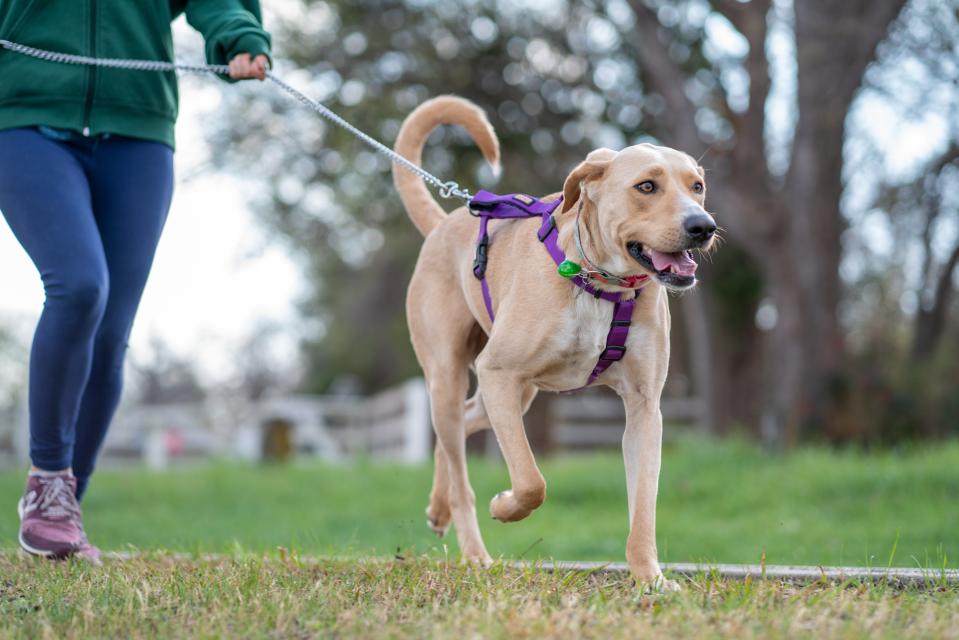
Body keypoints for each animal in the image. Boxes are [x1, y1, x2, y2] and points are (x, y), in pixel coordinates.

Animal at [394, 95, 716, 592]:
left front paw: (650, 577)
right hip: (452, 376)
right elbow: (531, 481)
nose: (704, 226)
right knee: (460, 464)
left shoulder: (645, 406)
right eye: (646, 186)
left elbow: (644, 506)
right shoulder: (498, 373)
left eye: (696, 186)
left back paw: (438, 506)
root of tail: (446, 222)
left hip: (514, 394)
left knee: (458, 431)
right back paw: (475, 552)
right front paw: (505, 505)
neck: (601, 284)